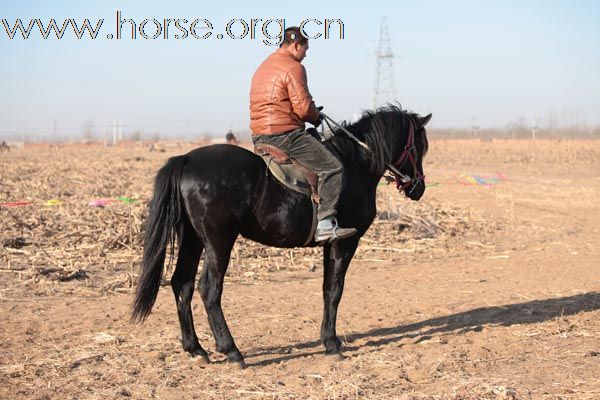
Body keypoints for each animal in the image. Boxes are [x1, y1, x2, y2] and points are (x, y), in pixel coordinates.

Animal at [132, 104, 432, 368]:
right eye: (417, 146)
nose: (418, 188)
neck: (356, 165)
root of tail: (185, 159)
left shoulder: (331, 245)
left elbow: (327, 289)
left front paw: (329, 340)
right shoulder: (345, 242)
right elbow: (334, 289)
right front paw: (331, 344)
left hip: (193, 240)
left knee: (182, 284)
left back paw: (196, 349)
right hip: (218, 241)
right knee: (209, 289)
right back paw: (232, 351)